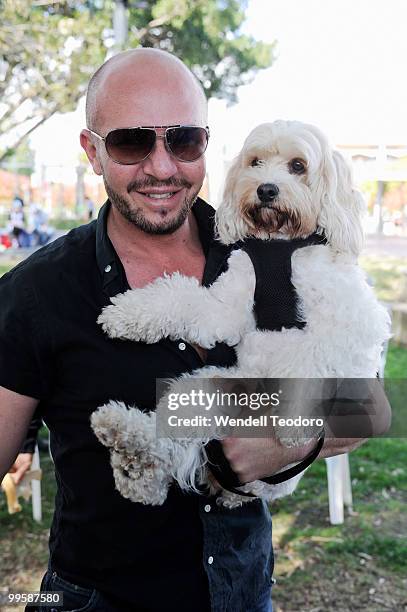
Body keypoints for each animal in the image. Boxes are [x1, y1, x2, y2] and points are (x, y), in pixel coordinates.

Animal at [90, 118, 392, 506]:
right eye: (255, 162)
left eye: (298, 165)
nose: (266, 190)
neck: (280, 246)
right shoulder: (228, 307)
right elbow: (179, 297)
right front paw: (125, 314)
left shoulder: (344, 326)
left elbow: (311, 362)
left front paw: (296, 423)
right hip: (205, 389)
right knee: (167, 444)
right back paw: (129, 451)